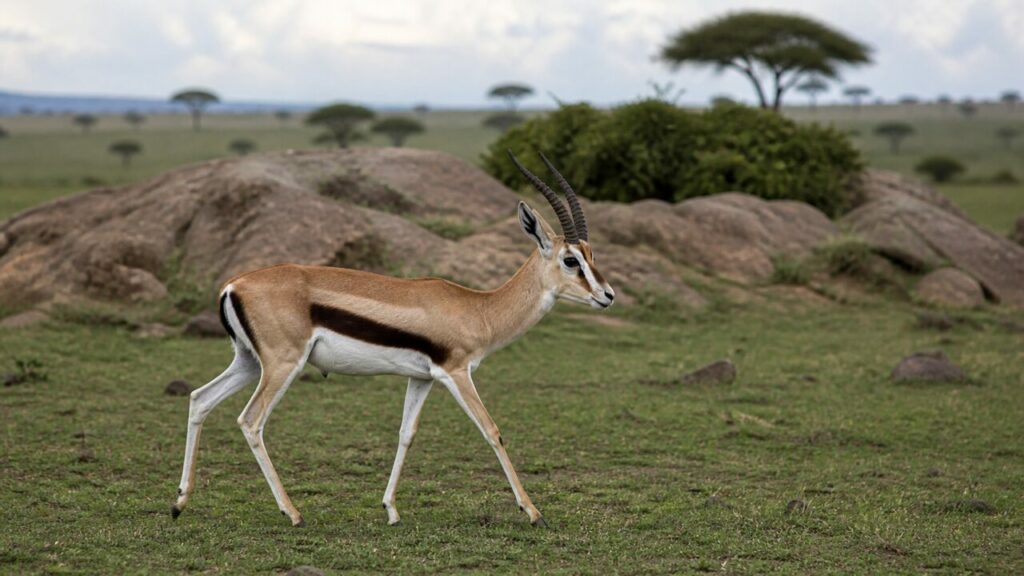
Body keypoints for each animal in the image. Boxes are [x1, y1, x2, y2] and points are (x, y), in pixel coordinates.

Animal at [171, 151, 615, 528]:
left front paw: (391, 510)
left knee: (199, 399)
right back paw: (292, 513)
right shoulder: (457, 372)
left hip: (248, 362)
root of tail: (233, 285)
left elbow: (406, 434)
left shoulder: (421, 378)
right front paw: (533, 511)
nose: (607, 295)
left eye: (592, 255)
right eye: (570, 260)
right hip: (282, 365)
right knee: (251, 421)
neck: (478, 309)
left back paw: (179, 504)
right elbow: (491, 430)